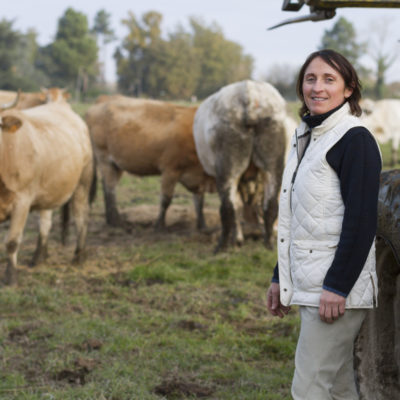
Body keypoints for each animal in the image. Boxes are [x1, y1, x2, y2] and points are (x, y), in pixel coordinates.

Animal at [0, 97, 93, 284]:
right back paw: (39, 256)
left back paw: (79, 256)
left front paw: (11, 277)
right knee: (45, 222)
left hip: (82, 182)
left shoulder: (22, 201)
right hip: (49, 189)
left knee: (81, 216)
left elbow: (12, 241)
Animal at [84, 95, 216, 230]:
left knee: (109, 187)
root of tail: (104, 99)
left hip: (117, 164)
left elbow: (199, 202)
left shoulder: (198, 178)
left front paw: (203, 227)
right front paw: (159, 225)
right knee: (110, 189)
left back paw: (111, 220)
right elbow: (166, 200)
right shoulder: (170, 170)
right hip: (105, 159)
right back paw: (116, 221)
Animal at [193, 79, 288, 252]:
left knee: (228, 209)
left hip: (228, 166)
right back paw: (269, 243)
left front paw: (237, 239)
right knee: (271, 206)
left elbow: (235, 207)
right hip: (273, 162)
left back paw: (222, 246)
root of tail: (249, 93)